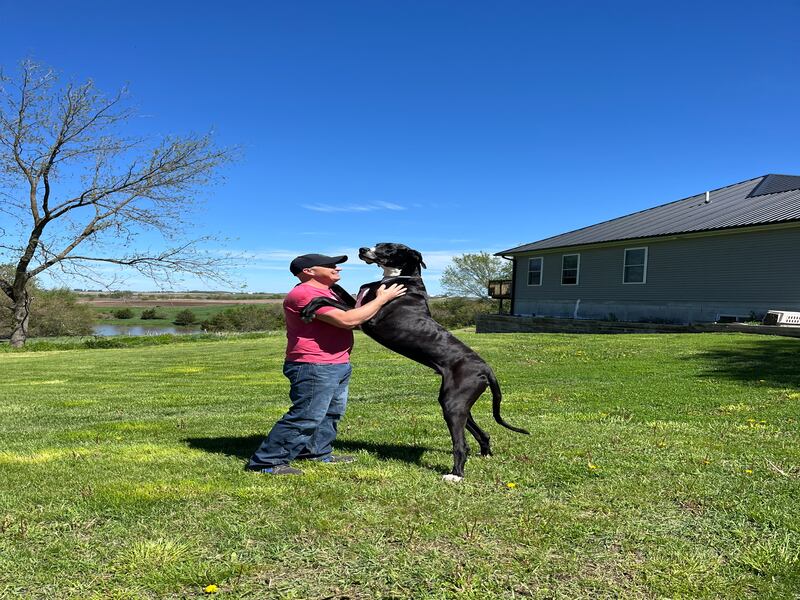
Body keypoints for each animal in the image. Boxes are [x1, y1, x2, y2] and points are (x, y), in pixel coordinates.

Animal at [296, 241, 528, 480]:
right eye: (377, 244)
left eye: (388, 248)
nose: (362, 250)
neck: (399, 278)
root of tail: (486, 368)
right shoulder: (358, 306)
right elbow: (339, 291)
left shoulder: (367, 318)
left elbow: (326, 299)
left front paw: (309, 307)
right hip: (458, 403)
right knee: (481, 432)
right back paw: (485, 455)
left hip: (453, 404)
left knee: (461, 445)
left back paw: (455, 475)